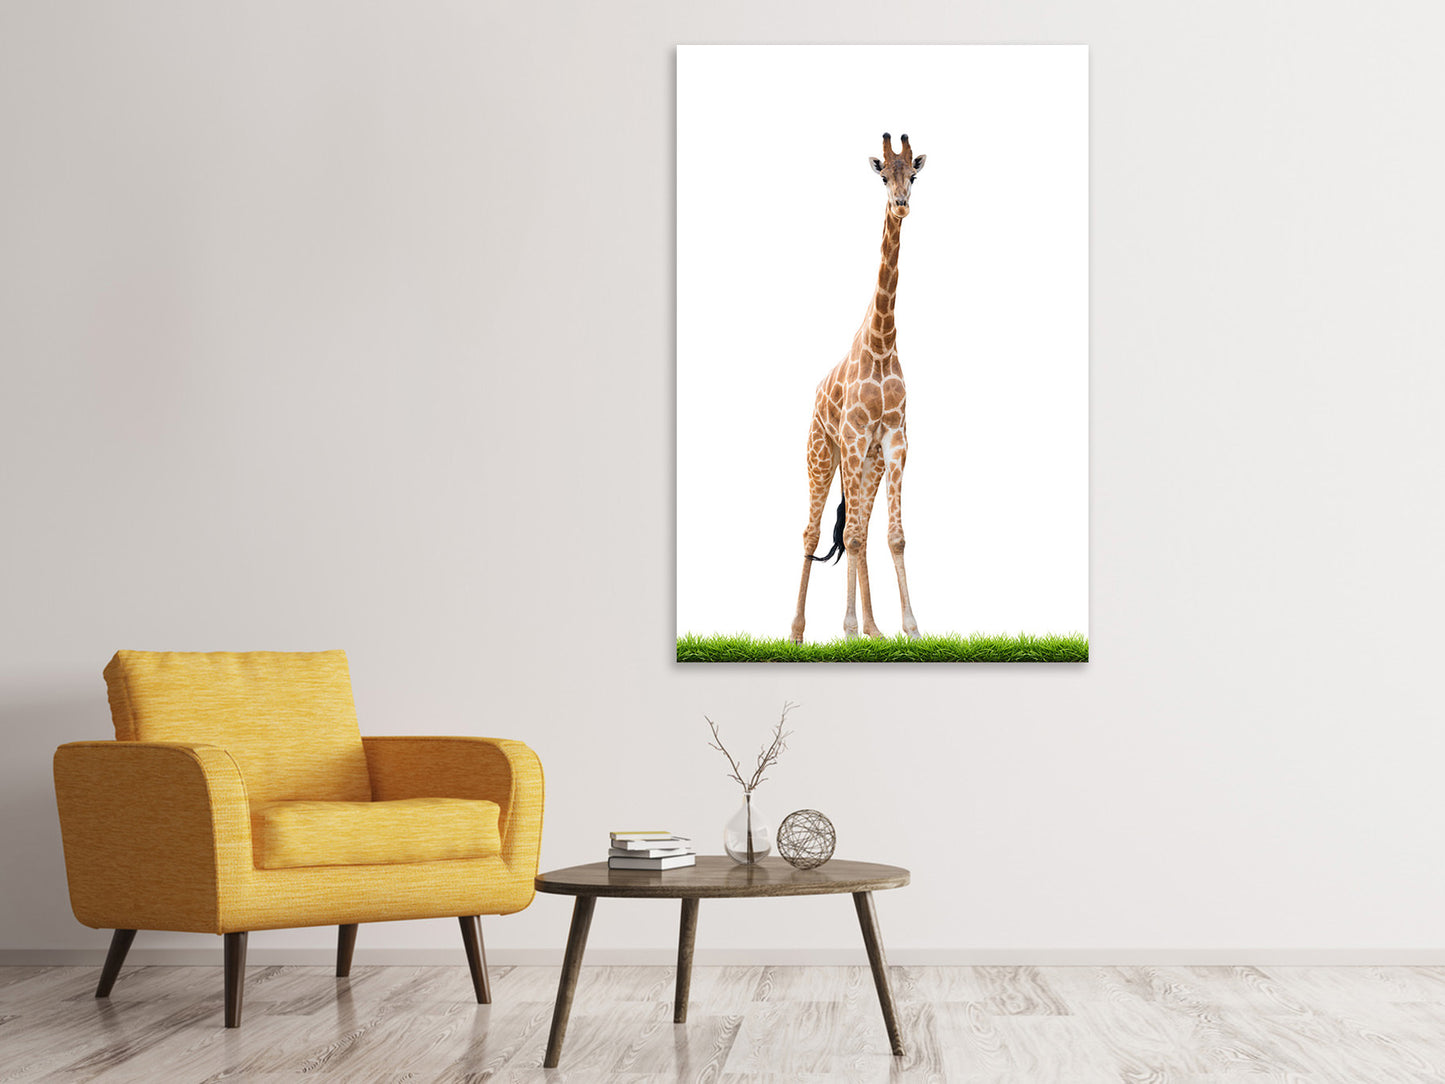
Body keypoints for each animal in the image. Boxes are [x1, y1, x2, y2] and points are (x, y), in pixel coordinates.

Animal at [790, 132, 925, 644]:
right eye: (883, 175)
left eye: (914, 175)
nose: (901, 204)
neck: (882, 342)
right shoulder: (851, 439)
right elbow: (845, 535)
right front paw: (846, 628)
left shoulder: (894, 441)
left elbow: (893, 535)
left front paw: (909, 627)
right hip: (823, 453)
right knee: (814, 533)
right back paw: (798, 632)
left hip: (866, 463)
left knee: (861, 529)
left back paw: (873, 628)